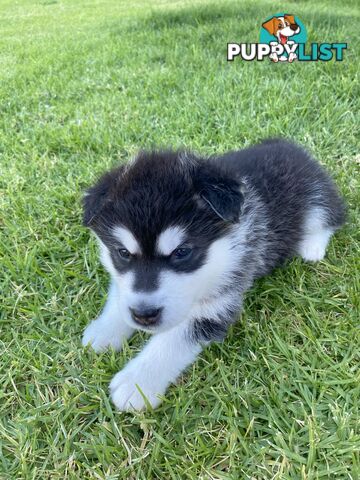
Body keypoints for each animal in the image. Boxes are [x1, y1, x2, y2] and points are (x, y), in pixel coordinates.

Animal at [82, 138, 346, 408]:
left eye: (182, 252)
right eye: (123, 252)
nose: (144, 315)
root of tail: (286, 144)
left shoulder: (221, 301)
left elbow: (173, 339)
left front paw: (137, 382)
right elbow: (119, 292)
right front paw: (104, 330)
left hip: (315, 195)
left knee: (331, 217)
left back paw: (311, 247)